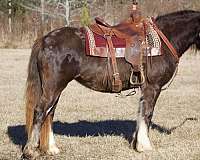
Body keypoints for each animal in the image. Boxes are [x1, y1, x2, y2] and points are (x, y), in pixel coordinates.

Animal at [21, 10, 200, 159]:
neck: (163, 40)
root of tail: (45, 39)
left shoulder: (145, 89)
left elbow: (140, 113)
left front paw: (136, 143)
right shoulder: (152, 87)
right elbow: (147, 114)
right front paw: (144, 146)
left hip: (55, 88)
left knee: (49, 113)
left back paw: (52, 148)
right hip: (53, 87)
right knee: (40, 112)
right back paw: (30, 151)